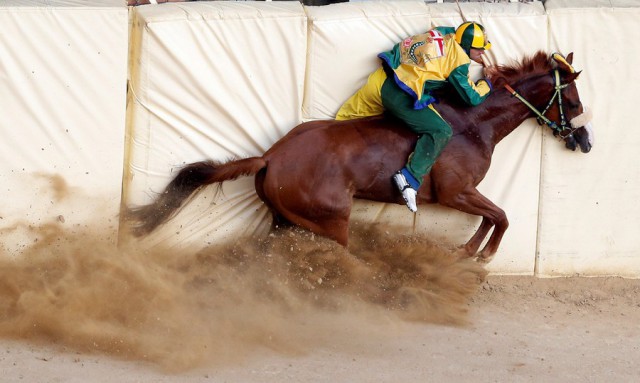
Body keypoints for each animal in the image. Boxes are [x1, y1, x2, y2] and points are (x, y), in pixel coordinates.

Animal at [126, 51, 596, 260]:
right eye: (573, 101)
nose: (585, 140)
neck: (473, 123)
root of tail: (271, 156)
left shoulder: (463, 193)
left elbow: (492, 216)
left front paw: (467, 250)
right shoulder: (454, 191)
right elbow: (500, 215)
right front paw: (482, 254)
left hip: (284, 220)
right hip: (331, 220)